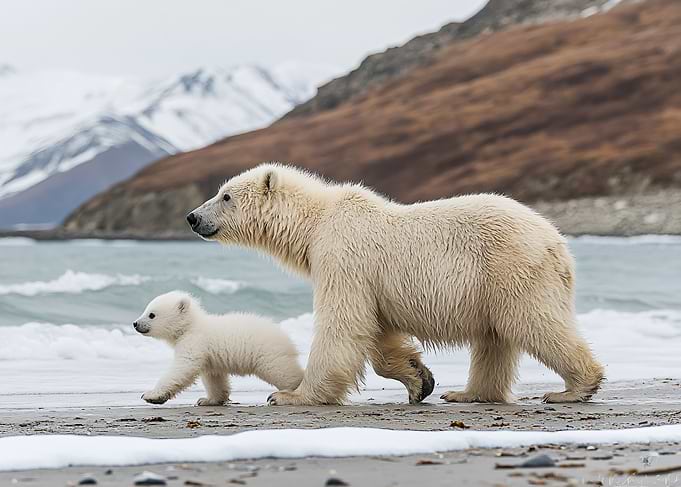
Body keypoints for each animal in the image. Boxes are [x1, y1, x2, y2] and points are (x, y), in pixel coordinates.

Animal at [133, 291, 304, 405]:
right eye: (146, 309)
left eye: (151, 314)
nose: (135, 323)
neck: (191, 325)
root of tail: (288, 341)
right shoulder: (210, 357)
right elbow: (214, 378)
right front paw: (207, 400)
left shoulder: (195, 342)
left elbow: (183, 367)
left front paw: (151, 395)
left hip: (268, 354)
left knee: (283, 373)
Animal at [186, 163, 604, 406]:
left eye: (225, 195)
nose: (192, 217)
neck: (317, 222)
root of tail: (558, 242)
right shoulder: (371, 280)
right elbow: (379, 332)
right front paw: (420, 379)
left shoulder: (344, 257)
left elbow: (344, 324)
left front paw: (290, 395)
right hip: (491, 284)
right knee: (494, 338)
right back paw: (467, 393)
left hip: (511, 269)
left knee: (533, 323)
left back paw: (574, 388)